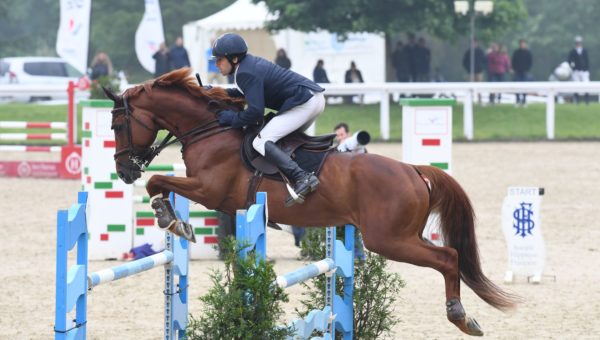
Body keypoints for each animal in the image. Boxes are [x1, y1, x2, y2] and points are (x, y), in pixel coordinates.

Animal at [103, 67, 516, 336]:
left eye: (117, 125)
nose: (123, 170)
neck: (211, 128)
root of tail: (413, 170)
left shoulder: (208, 190)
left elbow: (158, 181)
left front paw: (170, 218)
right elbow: (159, 182)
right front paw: (175, 219)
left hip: (390, 239)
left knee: (448, 258)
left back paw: (461, 317)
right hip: (396, 236)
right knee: (449, 257)